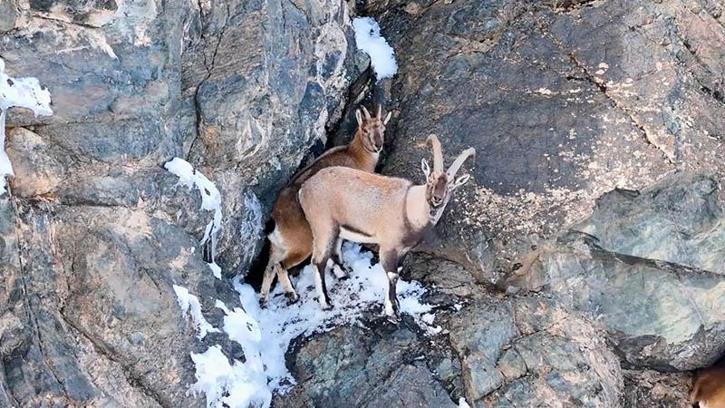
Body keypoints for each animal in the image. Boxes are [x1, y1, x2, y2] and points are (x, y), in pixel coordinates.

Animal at [258, 105, 390, 306]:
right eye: (365, 130)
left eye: (383, 129)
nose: (378, 146)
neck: (355, 155)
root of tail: (276, 219)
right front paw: (340, 270)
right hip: (302, 244)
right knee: (281, 266)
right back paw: (292, 294)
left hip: (277, 247)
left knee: (269, 267)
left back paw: (263, 298)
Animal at [296, 135, 472, 320]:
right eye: (430, 179)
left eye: (450, 186)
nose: (437, 199)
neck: (408, 207)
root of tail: (303, 189)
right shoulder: (388, 247)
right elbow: (393, 275)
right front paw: (392, 310)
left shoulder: (403, 250)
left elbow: (398, 271)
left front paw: (396, 305)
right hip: (323, 226)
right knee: (318, 260)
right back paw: (326, 302)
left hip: (336, 229)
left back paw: (342, 274)